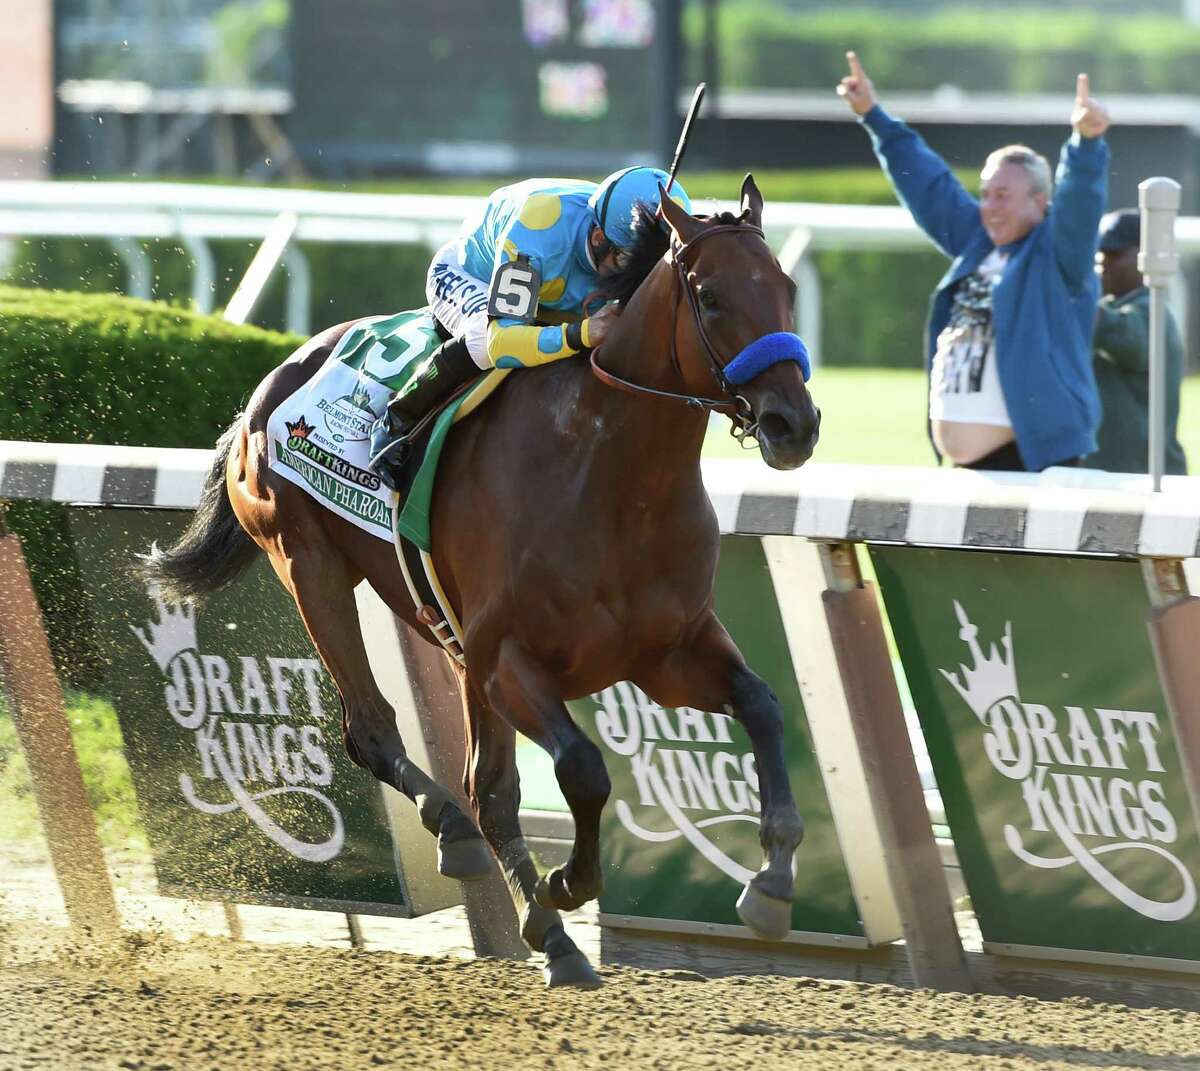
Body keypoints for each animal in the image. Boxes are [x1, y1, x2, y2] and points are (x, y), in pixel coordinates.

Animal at [138, 175, 816, 989]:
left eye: (786, 289)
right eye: (710, 298)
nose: (794, 424)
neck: (610, 480)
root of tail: (267, 389)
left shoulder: (667, 652)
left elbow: (763, 705)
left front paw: (772, 881)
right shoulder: (506, 661)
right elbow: (584, 769)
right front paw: (568, 882)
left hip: (448, 645)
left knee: (485, 785)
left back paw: (551, 935)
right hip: (311, 568)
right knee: (381, 736)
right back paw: (467, 846)